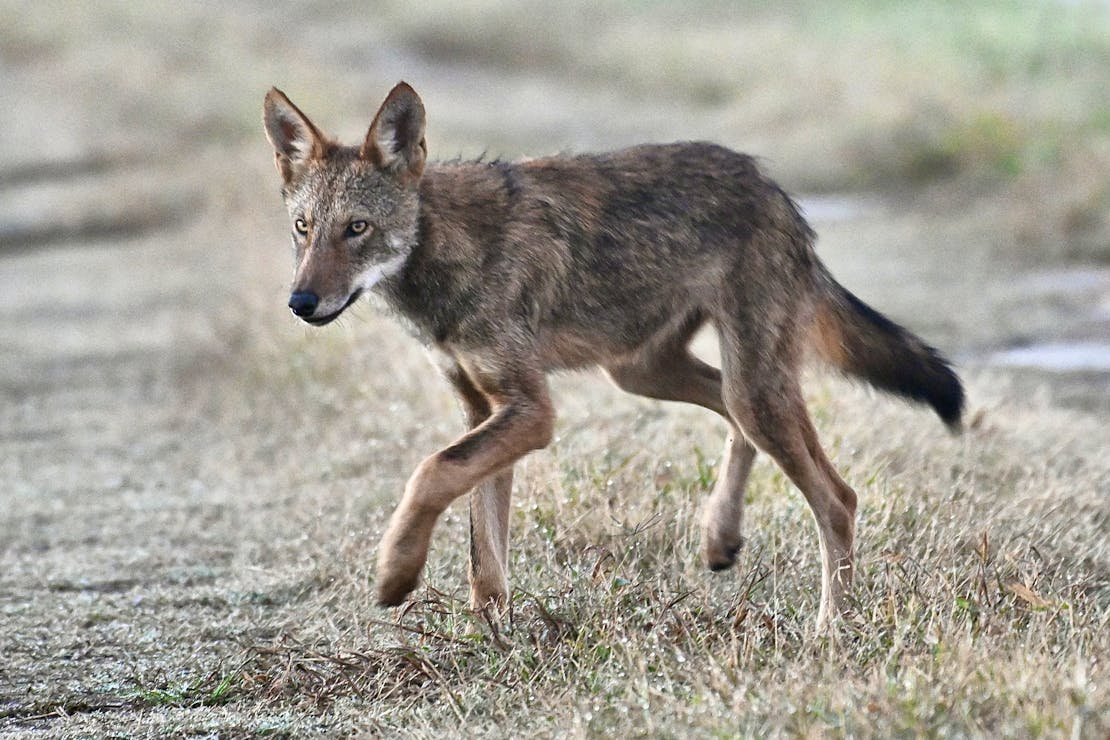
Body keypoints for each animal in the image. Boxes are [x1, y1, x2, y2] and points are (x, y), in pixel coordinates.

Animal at [262, 82, 963, 630]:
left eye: (357, 229)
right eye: (303, 228)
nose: (300, 301)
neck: (447, 251)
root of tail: (773, 187)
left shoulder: (530, 411)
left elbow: (430, 473)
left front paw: (395, 576)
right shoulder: (482, 409)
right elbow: (482, 544)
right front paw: (492, 635)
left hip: (744, 387)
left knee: (838, 499)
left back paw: (828, 631)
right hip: (650, 374)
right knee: (737, 425)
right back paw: (721, 536)